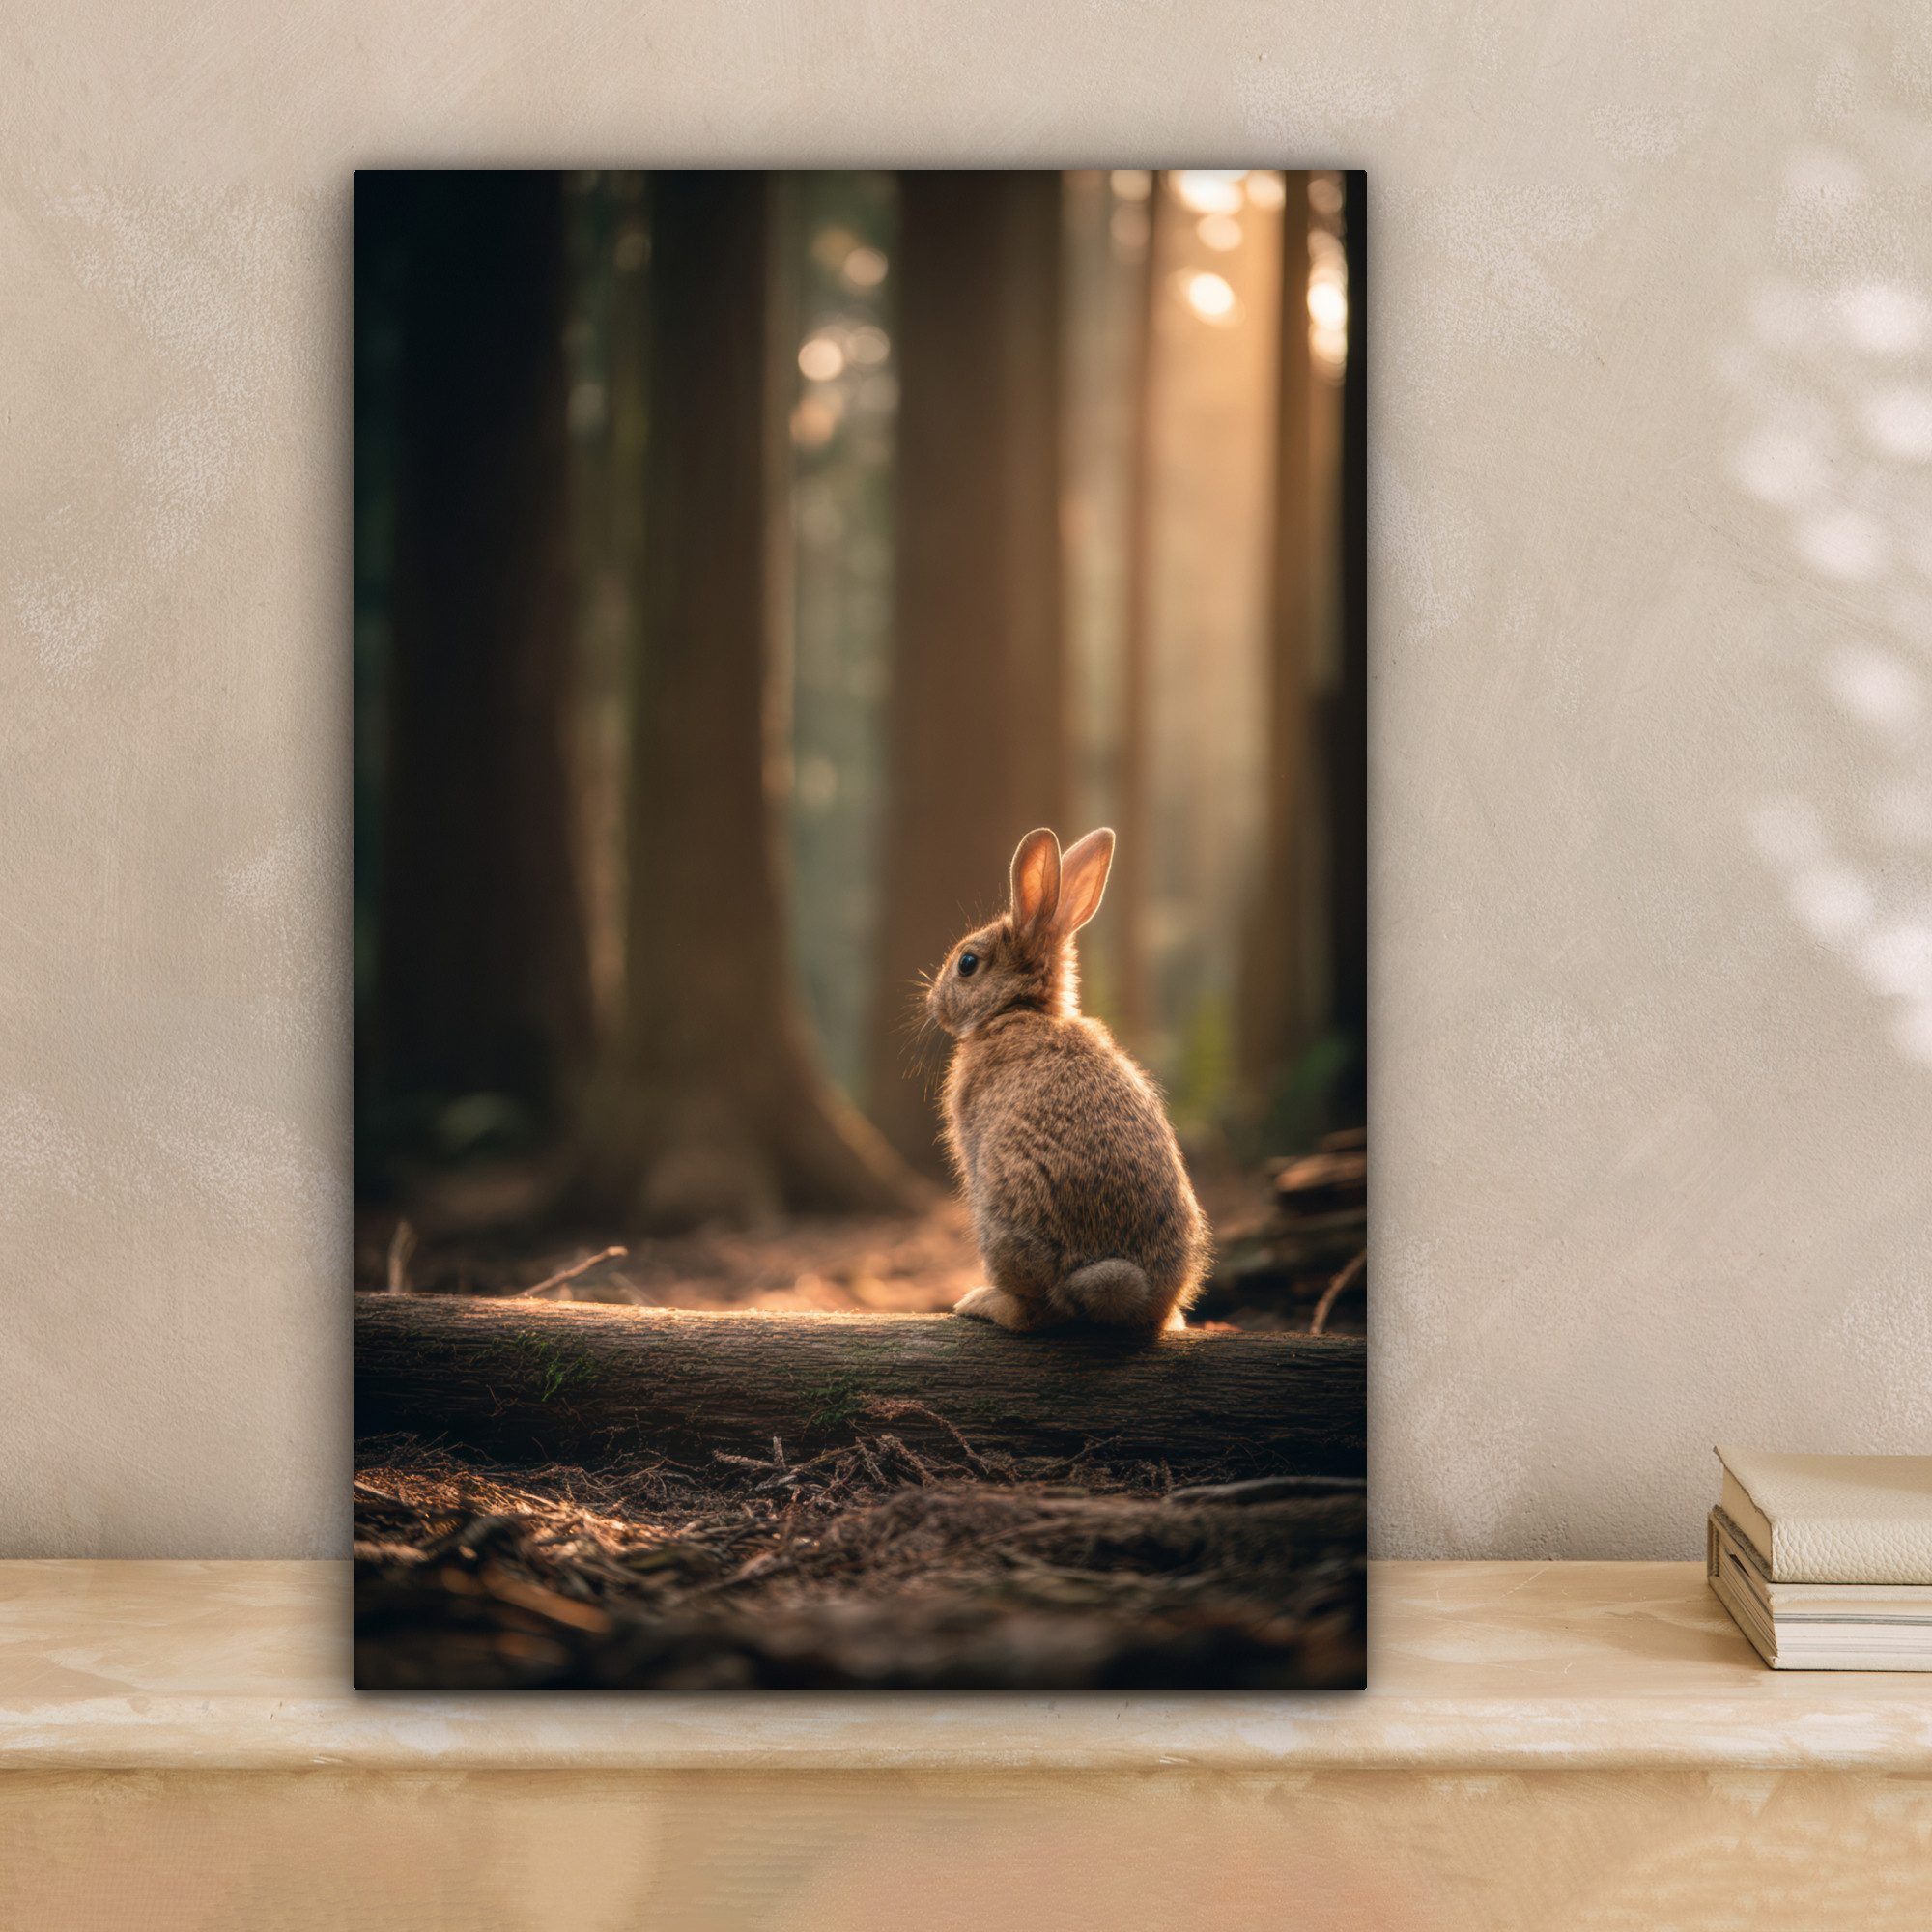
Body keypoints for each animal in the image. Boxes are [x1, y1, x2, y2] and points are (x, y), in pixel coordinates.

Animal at [926, 826, 1212, 1335]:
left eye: (967, 963)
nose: (933, 1003)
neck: (1019, 1009)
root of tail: (1118, 1289)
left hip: (1001, 1228)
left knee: (1033, 1312)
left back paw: (980, 1302)